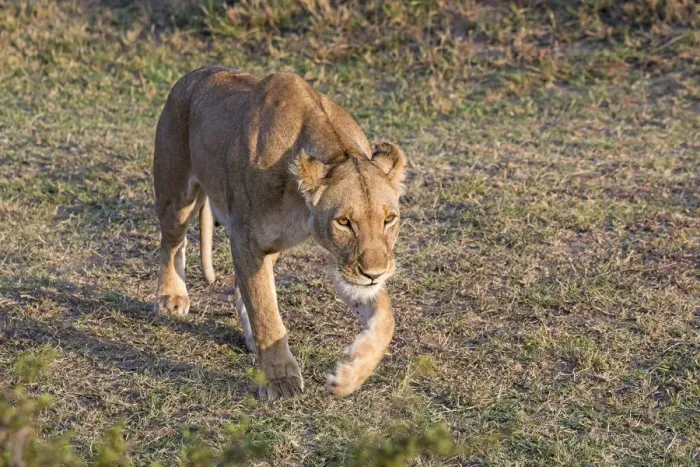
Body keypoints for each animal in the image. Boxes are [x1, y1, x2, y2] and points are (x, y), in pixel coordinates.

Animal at [153, 65, 406, 399]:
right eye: (343, 222)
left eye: (389, 219)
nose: (374, 274)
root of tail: (196, 73)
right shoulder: (246, 238)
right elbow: (265, 311)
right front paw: (280, 379)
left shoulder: (339, 260)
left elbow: (386, 317)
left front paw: (348, 376)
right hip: (176, 195)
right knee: (172, 242)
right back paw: (171, 296)